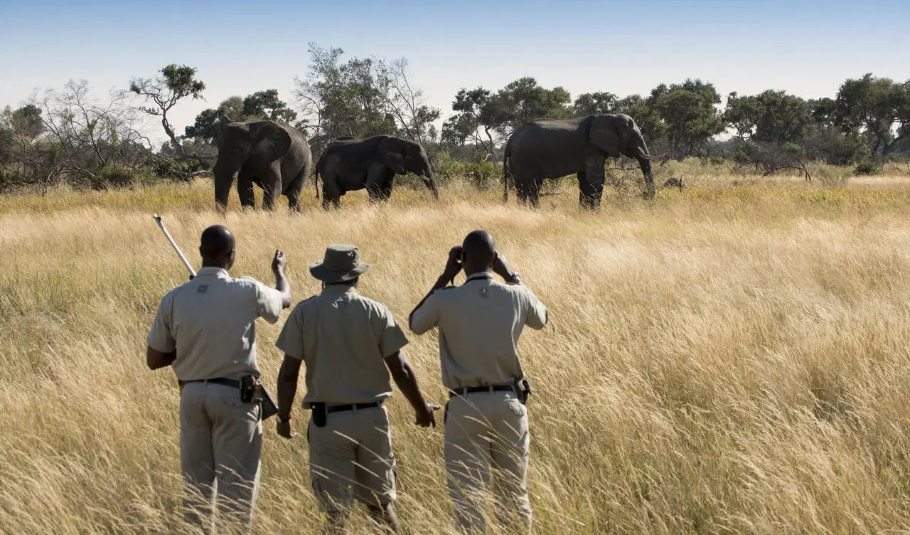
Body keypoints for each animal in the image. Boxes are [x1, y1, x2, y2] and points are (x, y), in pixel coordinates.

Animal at [506, 114, 656, 208]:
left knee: (530, 186)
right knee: (527, 185)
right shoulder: (591, 148)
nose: (645, 196)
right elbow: (596, 180)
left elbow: (584, 181)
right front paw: (595, 214)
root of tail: (511, 138)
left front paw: (583, 213)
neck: (609, 116)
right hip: (523, 158)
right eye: (633, 135)